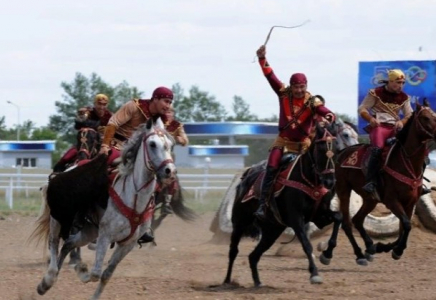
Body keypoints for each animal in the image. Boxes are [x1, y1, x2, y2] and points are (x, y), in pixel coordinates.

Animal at [32, 119, 176, 300]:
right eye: (152, 144)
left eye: (170, 145)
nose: (169, 170)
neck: (134, 196)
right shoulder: (105, 237)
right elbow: (96, 273)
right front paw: (83, 272)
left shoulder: (128, 243)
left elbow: (106, 274)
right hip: (59, 218)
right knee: (54, 242)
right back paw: (47, 280)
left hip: (89, 231)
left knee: (68, 244)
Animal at [223, 122, 342, 286]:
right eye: (320, 149)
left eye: (336, 149)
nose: (330, 182)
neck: (309, 180)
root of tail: (245, 178)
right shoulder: (296, 219)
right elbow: (307, 244)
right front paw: (314, 273)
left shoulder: (320, 216)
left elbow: (338, 217)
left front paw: (327, 255)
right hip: (240, 223)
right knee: (233, 251)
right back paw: (227, 280)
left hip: (272, 230)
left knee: (254, 256)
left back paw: (258, 282)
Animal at [332, 101, 436, 264]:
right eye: (425, 118)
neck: (404, 162)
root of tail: (342, 153)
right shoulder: (391, 200)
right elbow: (406, 225)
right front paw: (395, 250)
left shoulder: (410, 202)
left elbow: (404, 227)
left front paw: (384, 247)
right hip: (343, 190)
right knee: (347, 223)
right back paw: (358, 254)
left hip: (370, 199)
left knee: (358, 220)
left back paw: (370, 247)